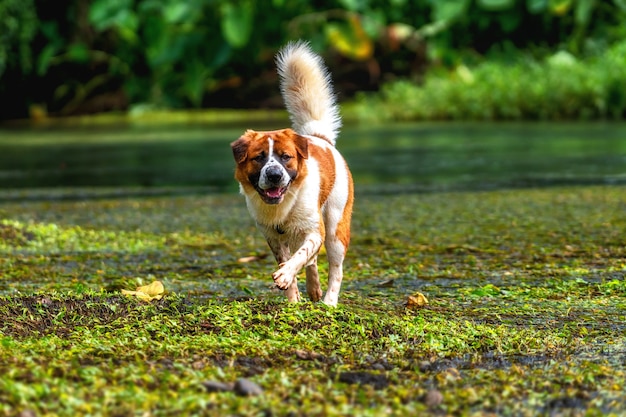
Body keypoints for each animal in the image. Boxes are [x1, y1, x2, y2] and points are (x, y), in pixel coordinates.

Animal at [232, 40, 354, 304]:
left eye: (285, 157)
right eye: (259, 158)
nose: (274, 175)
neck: (283, 206)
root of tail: (320, 138)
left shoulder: (314, 231)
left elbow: (300, 257)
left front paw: (285, 275)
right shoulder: (272, 237)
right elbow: (291, 259)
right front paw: (292, 300)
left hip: (335, 229)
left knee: (335, 268)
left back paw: (329, 301)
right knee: (313, 261)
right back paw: (314, 289)